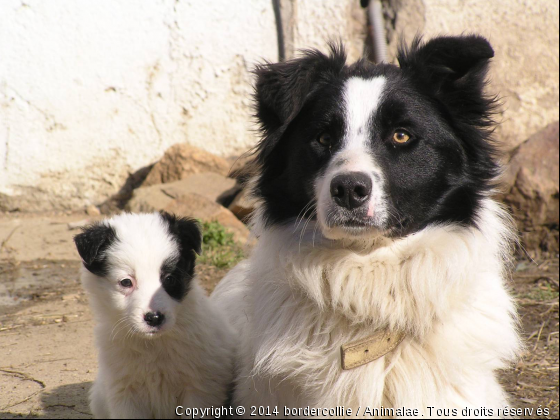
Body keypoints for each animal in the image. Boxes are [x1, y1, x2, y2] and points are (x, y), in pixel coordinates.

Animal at [74, 213, 232, 420]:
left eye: (170, 279)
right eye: (126, 282)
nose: (155, 318)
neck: (153, 345)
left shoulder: (200, 389)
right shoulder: (125, 392)